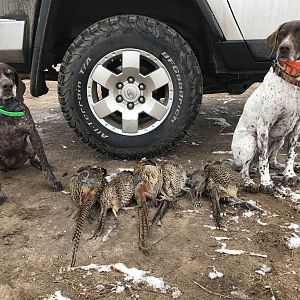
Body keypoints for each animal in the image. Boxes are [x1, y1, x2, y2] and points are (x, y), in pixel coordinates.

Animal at [0, 61, 62, 203]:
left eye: (9, 74)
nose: (7, 86)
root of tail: (9, 167)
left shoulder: (33, 134)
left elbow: (45, 163)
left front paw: (52, 181)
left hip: (28, 145)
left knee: (33, 158)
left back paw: (37, 163)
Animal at [232, 21, 300, 195]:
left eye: (299, 32)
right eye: (281, 34)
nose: (284, 48)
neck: (291, 80)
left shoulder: (297, 126)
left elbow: (291, 153)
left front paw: (289, 174)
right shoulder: (264, 125)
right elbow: (263, 160)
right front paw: (266, 183)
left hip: (279, 140)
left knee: (270, 160)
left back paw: (280, 167)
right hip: (251, 142)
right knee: (245, 170)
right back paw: (250, 183)